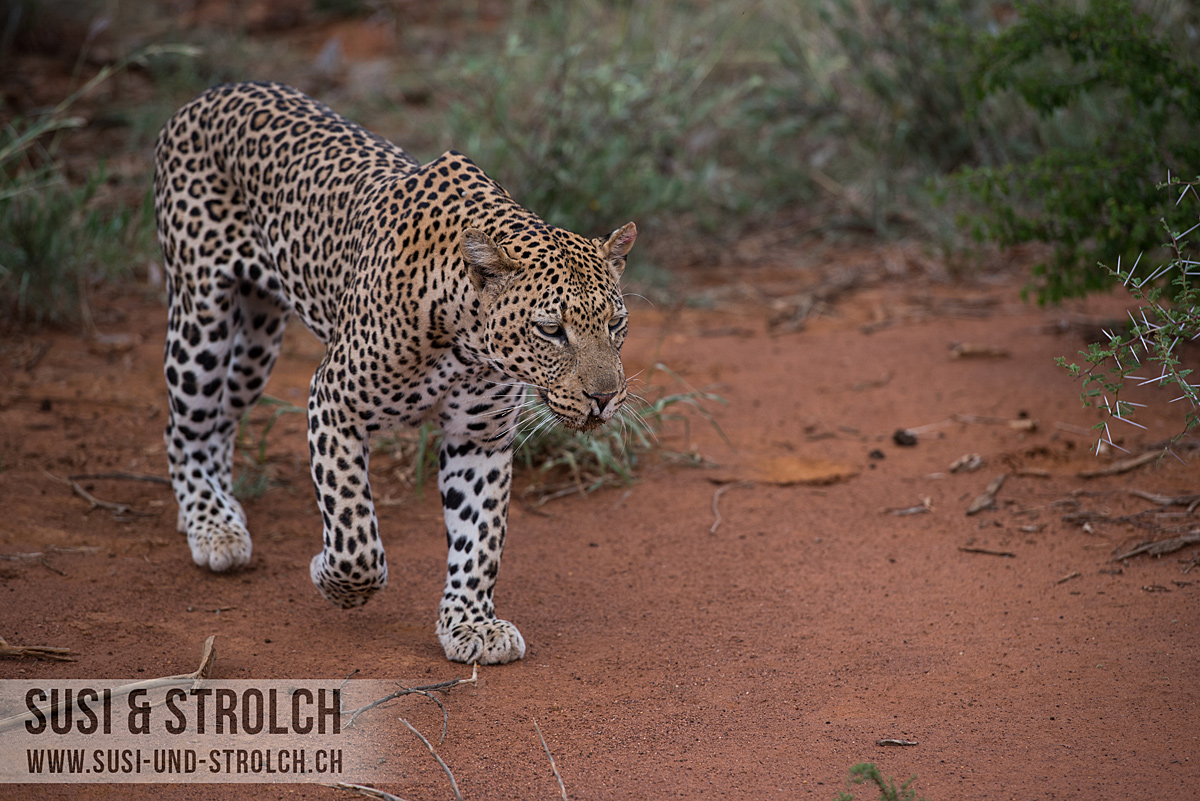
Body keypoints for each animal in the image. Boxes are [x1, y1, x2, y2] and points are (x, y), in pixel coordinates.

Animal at [157, 81, 638, 661]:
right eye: (550, 330)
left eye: (616, 324)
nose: (605, 398)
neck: (464, 340)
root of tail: (215, 91)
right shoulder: (333, 401)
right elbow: (353, 534)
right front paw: (330, 577)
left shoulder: (479, 436)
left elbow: (480, 537)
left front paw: (471, 623)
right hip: (201, 319)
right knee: (185, 426)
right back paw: (212, 525)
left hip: (257, 338)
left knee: (224, 419)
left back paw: (218, 507)